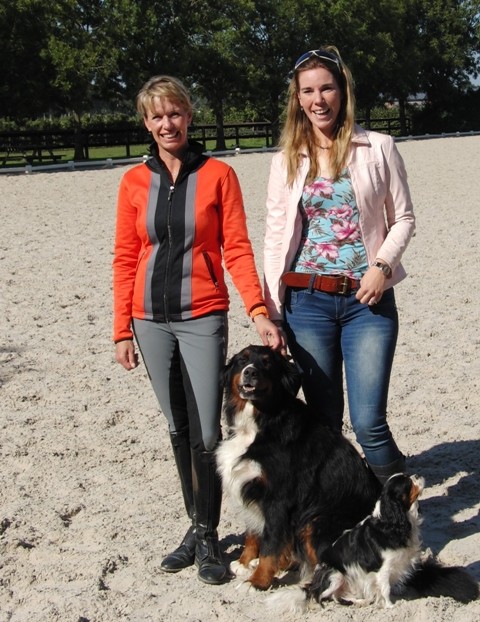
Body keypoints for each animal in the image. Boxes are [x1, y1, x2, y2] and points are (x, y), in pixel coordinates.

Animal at [217, 345, 479, 604]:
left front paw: (257, 581)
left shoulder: (278, 499)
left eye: (267, 363)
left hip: (316, 520)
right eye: (242, 361)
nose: (250, 372)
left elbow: (271, 544)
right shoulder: (250, 487)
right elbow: (253, 532)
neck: (262, 420)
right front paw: (245, 561)